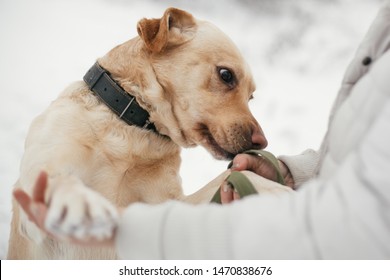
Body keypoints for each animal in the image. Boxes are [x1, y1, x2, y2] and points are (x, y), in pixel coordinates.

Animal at [6, 7, 274, 260]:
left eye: (251, 96)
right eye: (226, 75)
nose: (262, 143)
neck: (133, 130)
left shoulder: (168, 208)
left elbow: (231, 178)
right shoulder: (38, 188)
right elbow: (58, 179)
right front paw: (80, 203)